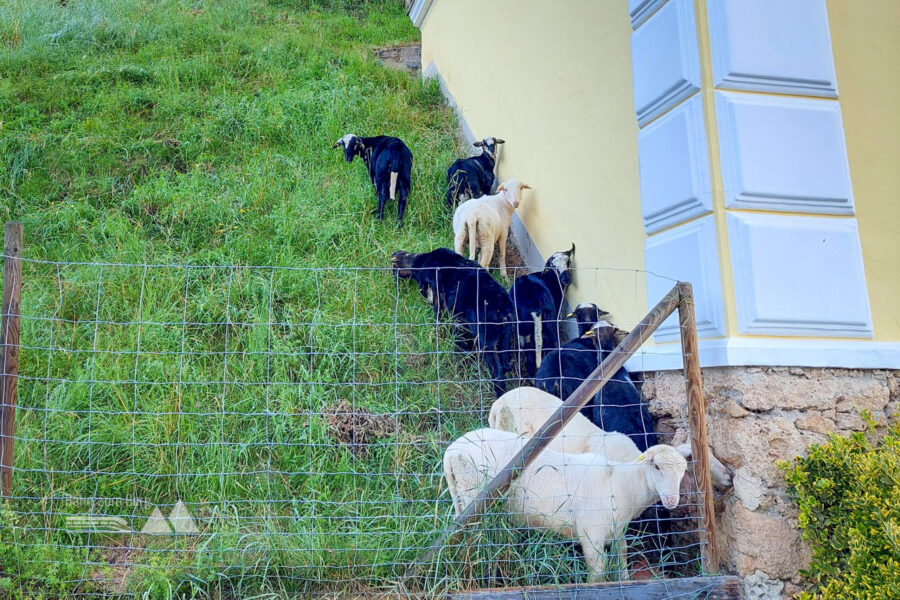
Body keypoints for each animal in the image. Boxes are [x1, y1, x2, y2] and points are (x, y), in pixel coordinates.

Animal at [392, 246, 512, 396]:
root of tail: (504, 307)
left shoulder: (435, 295)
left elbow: (437, 313)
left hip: (486, 339)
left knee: (497, 370)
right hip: (503, 340)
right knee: (505, 363)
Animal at [444, 428, 688, 580]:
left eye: (683, 471)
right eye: (657, 467)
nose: (672, 500)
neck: (624, 482)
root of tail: (452, 451)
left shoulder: (617, 528)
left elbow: (622, 553)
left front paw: (625, 579)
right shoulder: (591, 532)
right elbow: (597, 569)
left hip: (461, 497)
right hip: (474, 496)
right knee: (475, 540)